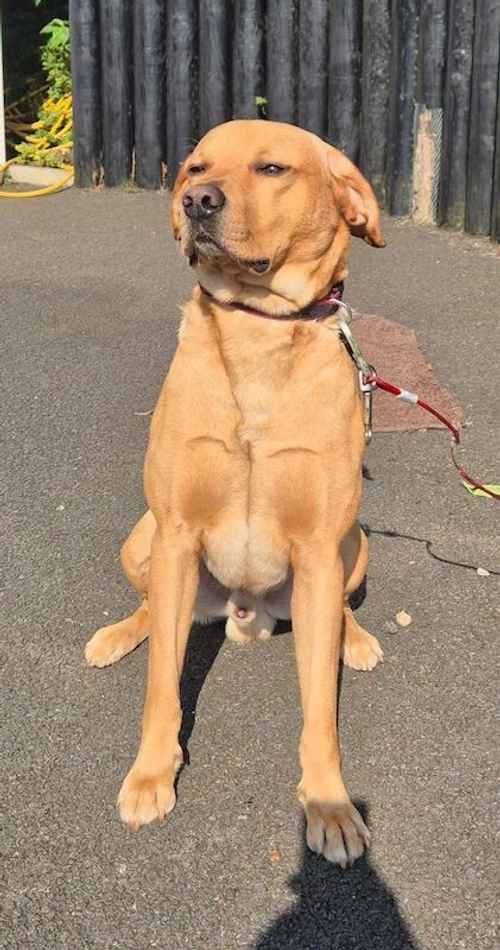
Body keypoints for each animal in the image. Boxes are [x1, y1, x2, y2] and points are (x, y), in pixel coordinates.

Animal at [85, 119, 382, 872]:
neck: (257, 332)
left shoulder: (318, 547)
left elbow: (320, 710)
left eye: (272, 168)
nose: (198, 201)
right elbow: (162, 685)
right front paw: (151, 774)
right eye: (196, 166)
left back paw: (356, 638)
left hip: (354, 544)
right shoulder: (177, 532)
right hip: (144, 538)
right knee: (154, 608)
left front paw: (329, 804)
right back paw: (119, 633)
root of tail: (246, 612)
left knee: (340, 607)